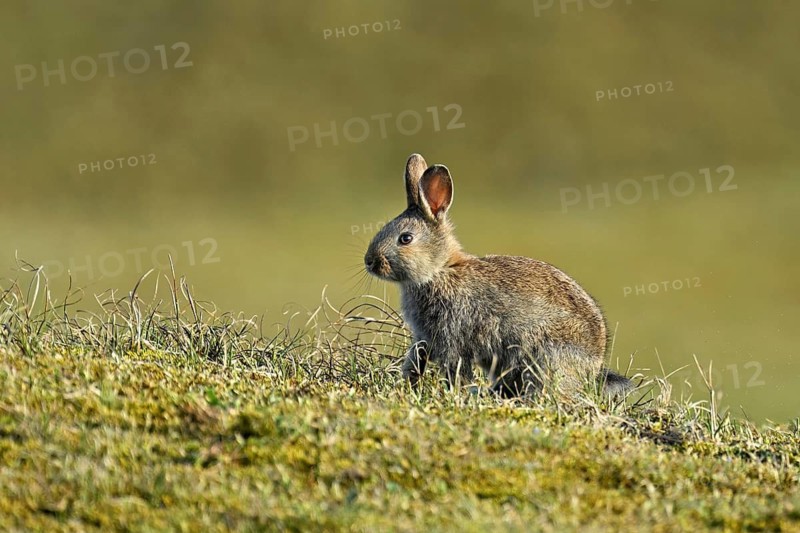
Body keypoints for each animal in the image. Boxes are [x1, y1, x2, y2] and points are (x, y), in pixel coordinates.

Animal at [364, 153, 632, 398]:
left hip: (544, 354)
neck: (439, 272)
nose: (370, 262)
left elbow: (455, 369)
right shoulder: (423, 338)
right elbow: (414, 361)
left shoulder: (453, 336)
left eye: (405, 238)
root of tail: (592, 367)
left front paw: (457, 394)